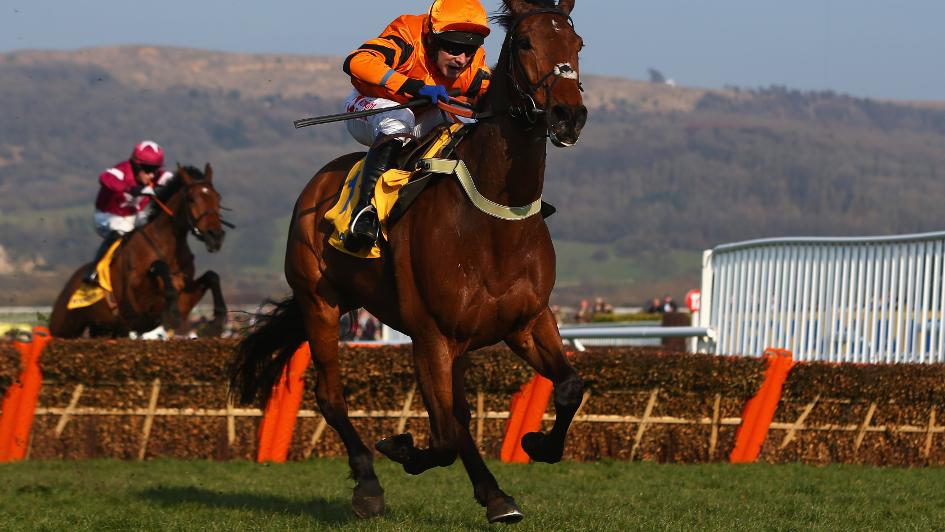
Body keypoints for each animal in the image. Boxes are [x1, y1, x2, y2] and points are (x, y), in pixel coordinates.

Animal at [49, 164, 229, 339]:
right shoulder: (137, 303)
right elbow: (159, 266)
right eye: (191, 199)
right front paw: (172, 311)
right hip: (63, 328)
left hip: (107, 330)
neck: (166, 247)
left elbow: (212, 276)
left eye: (218, 198)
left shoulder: (184, 300)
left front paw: (218, 321)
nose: (216, 236)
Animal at [230, 0, 586, 523]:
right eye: (525, 42)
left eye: (576, 44)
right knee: (332, 397)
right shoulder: (430, 336)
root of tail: (317, 183)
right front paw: (401, 449)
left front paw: (536, 446)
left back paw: (491, 492)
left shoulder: (527, 321)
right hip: (320, 302)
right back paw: (368, 483)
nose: (568, 115)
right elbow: (444, 435)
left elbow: (567, 387)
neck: (494, 222)